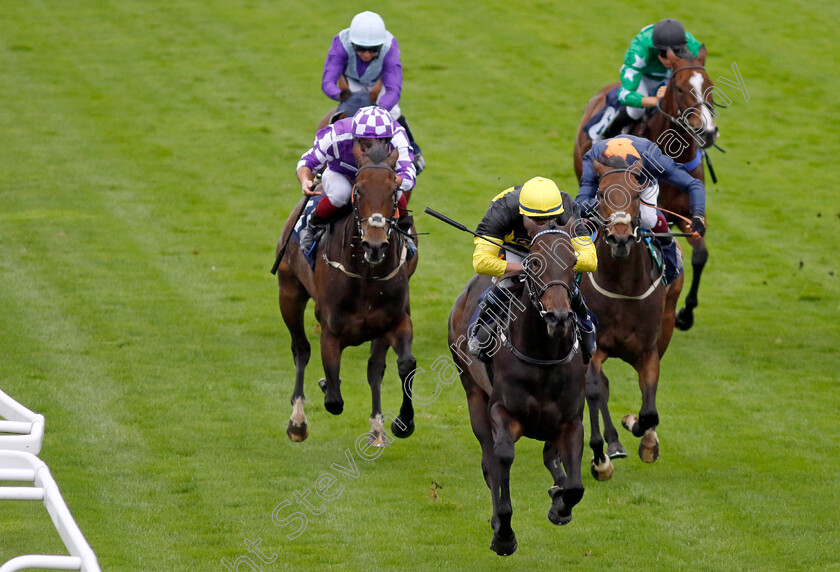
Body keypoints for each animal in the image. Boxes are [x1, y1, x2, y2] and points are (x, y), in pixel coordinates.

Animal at [278, 139, 418, 446]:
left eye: (394, 192)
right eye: (359, 189)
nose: (374, 245)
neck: (366, 275)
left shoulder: (395, 321)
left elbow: (403, 365)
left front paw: (402, 422)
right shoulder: (331, 331)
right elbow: (333, 399)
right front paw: (323, 387)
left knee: (375, 368)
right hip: (289, 292)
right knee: (300, 349)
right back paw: (297, 421)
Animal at [450, 221, 588, 556]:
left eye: (573, 262)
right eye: (534, 263)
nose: (559, 317)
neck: (544, 357)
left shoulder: (571, 420)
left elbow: (575, 486)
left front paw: (560, 506)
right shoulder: (502, 412)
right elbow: (501, 459)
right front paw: (504, 532)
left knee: (551, 456)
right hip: (473, 393)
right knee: (489, 459)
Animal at [576, 45, 720, 330]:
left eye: (708, 85)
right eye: (680, 88)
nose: (707, 132)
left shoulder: (686, 213)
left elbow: (700, 254)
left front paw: (686, 315)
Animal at [580, 159, 684, 480]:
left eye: (637, 195)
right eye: (601, 193)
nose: (620, 238)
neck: (623, 286)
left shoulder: (648, 351)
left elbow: (649, 410)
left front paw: (642, 434)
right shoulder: (595, 348)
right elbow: (594, 390)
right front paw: (601, 457)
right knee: (598, 388)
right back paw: (610, 447)